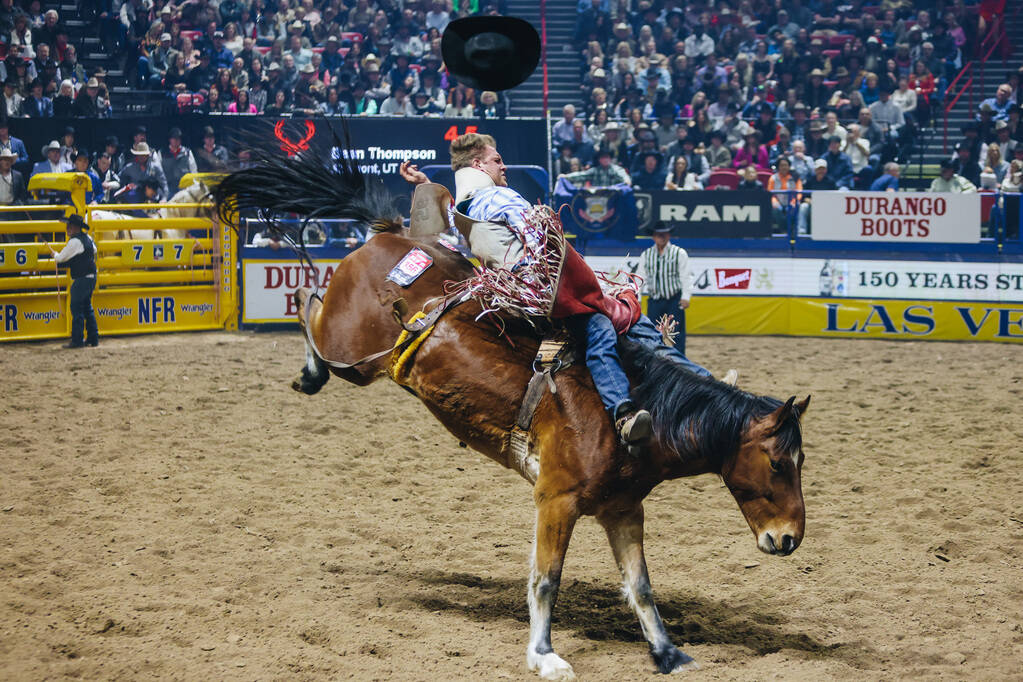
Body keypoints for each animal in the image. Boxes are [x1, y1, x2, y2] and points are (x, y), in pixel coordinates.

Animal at [211, 147, 810, 678]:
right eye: (779, 463)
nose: (789, 539)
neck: (637, 414)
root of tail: (390, 234)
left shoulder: (623, 509)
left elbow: (639, 585)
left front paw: (666, 652)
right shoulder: (556, 499)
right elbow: (546, 580)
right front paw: (545, 656)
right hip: (349, 347)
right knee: (307, 302)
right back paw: (308, 370)